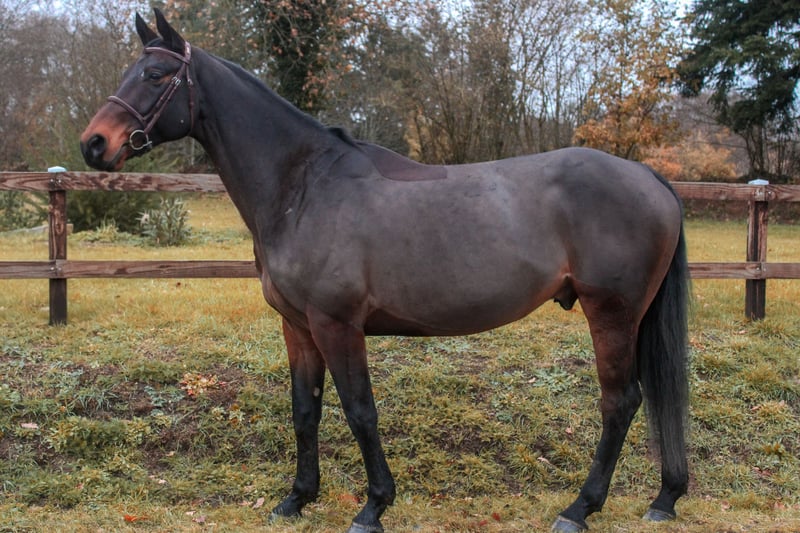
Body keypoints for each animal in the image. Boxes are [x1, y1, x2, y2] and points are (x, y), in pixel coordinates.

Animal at [81, 9, 690, 532]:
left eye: (155, 74)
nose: (94, 144)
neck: (304, 186)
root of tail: (648, 176)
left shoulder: (337, 325)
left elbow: (359, 411)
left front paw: (373, 507)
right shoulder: (298, 327)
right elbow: (306, 410)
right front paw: (297, 498)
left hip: (611, 314)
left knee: (620, 402)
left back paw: (579, 508)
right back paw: (664, 497)